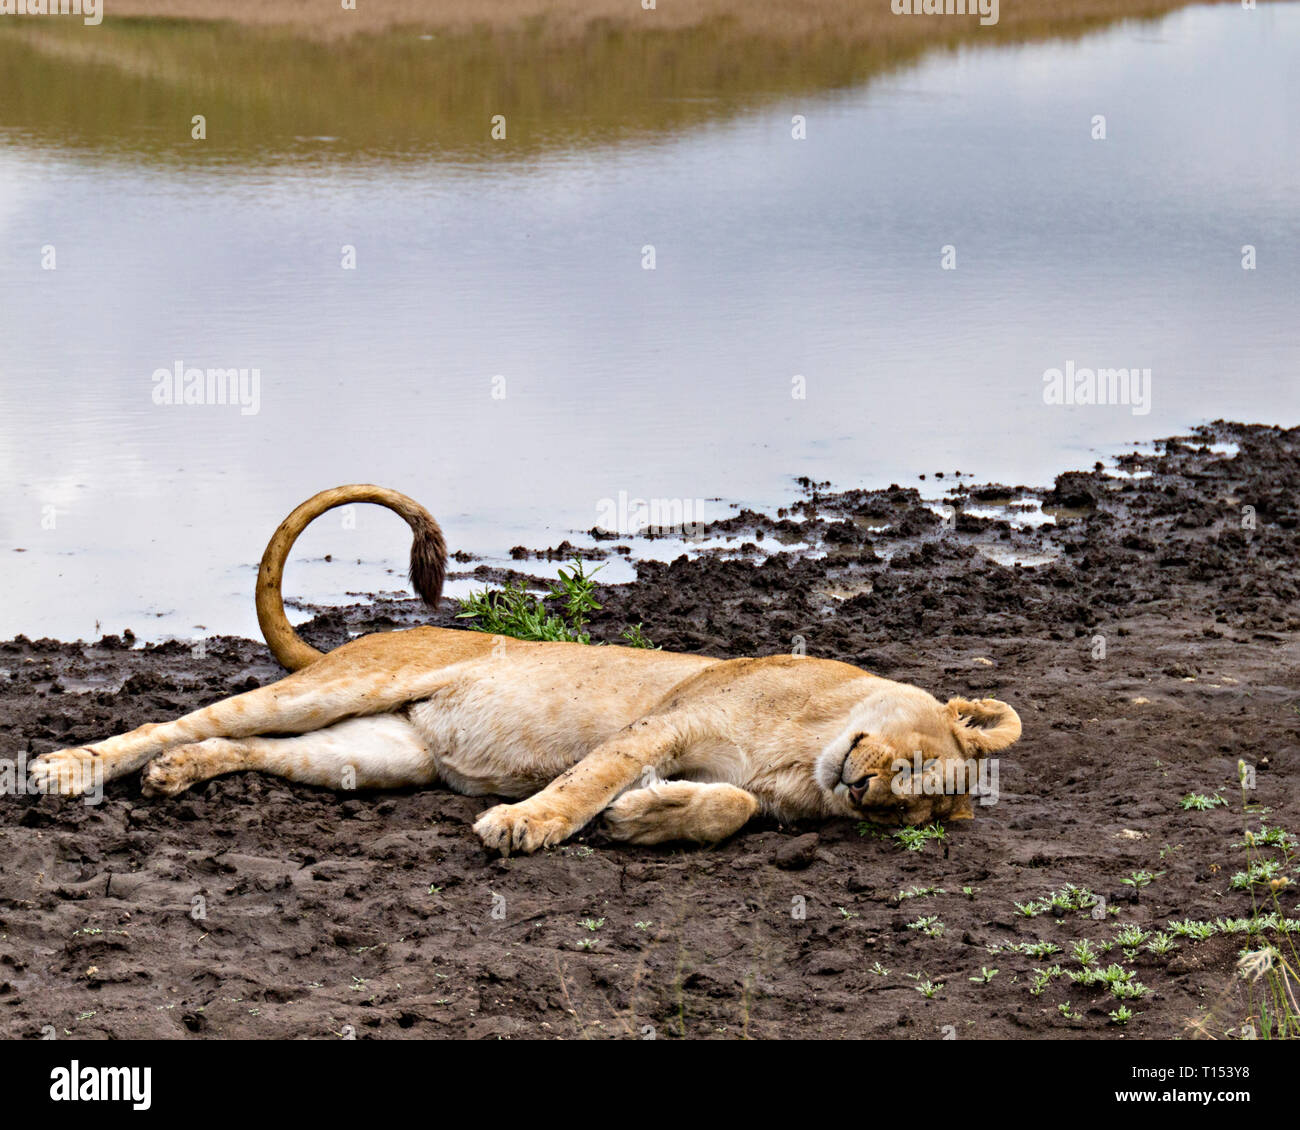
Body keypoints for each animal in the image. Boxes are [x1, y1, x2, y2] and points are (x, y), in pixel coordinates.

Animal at [22, 481, 1013, 853]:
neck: (809, 753)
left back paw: (179, 777)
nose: (867, 788)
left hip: (375, 752)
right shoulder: (668, 717)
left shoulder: (748, 785)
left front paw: (644, 820)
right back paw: (67, 769)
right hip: (348, 684)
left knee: (251, 750)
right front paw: (524, 826)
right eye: (912, 758)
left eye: (910, 808)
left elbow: (727, 806)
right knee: (174, 722)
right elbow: (589, 778)